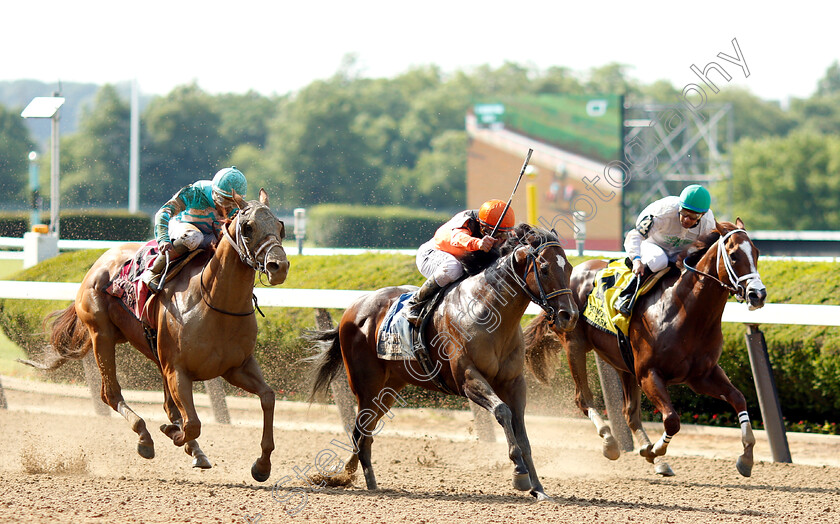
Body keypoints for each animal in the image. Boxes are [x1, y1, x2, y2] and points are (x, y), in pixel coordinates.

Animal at [22, 189, 288, 484]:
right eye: (248, 227)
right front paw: (174, 434)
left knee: (167, 405)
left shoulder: (236, 367)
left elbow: (268, 397)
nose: (279, 266)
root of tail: (101, 261)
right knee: (111, 394)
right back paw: (145, 438)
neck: (213, 302)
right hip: (102, 335)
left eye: (280, 227)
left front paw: (262, 465)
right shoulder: (177, 370)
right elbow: (192, 423)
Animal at [306, 224, 576, 500]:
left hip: (389, 389)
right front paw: (519, 473)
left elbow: (521, 430)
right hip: (366, 385)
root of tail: (353, 309)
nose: (570, 316)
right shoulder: (467, 378)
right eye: (545, 268)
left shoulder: (514, 382)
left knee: (363, 433)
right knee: (361, 430)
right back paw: (356, 480)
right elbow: (502, 411)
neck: (488, 311)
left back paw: (354, 478)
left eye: (569, 268)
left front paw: (538, 487)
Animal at [524, 217, 768, 474]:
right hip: (574, 343)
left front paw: (746, 457)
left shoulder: (702, 376)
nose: (758, 294)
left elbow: (738, 398)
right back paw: (610, 442)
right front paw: (654, 450)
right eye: (733, 255)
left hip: (622, 361)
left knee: (629, 413)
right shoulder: (649, 374)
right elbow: (672, 420)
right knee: (583, 398)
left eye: (756, 252)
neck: (685, 312)